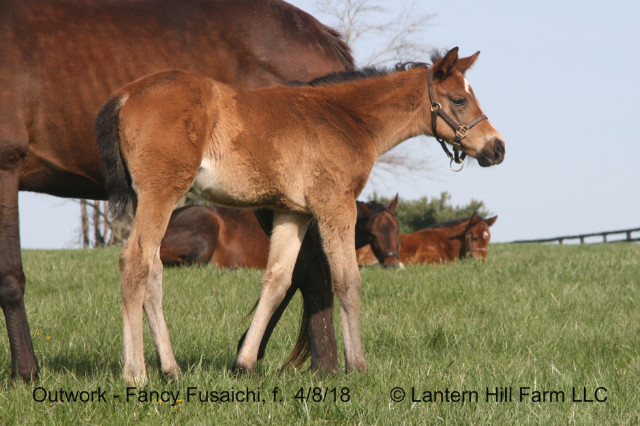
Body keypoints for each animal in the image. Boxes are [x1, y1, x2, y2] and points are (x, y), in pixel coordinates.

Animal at [0, 0, 356, 382]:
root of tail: (323, 37)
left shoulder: (5, 165)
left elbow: (10, 276)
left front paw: (26, 371)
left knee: (312, 271)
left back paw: (315, 367)